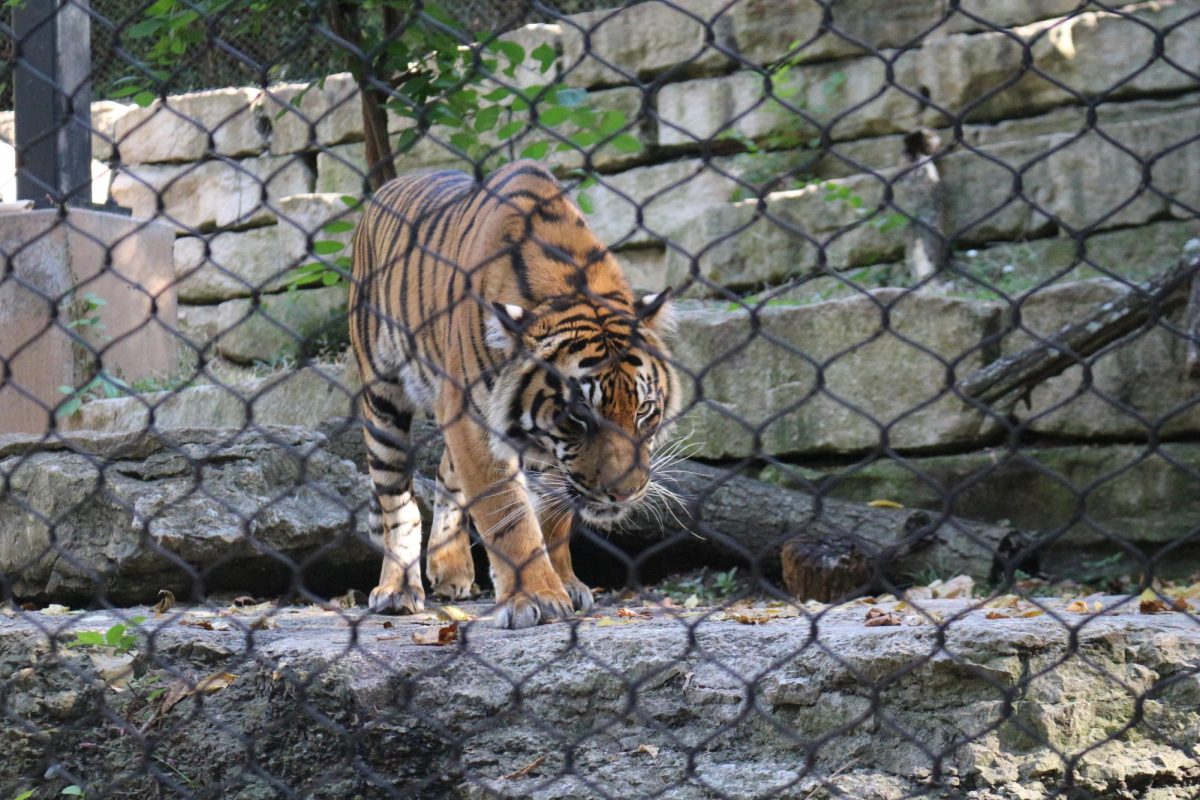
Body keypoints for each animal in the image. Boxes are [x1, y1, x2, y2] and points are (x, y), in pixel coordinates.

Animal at [350, 159, 681, 628]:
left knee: (446, 475)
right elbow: (506, 514)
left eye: (644, 411)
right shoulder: (474, 421)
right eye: (579, 416)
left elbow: (554, 517)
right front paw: (533, 598)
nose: (625, 494)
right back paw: (398, 590)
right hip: (382, 398)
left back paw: (451, 570)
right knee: (397, 501)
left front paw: (568, 584)